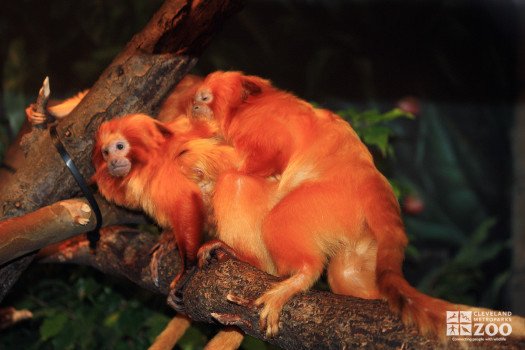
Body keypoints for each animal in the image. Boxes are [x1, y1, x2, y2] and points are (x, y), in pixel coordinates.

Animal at [186, 69, 524, 340]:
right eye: (196, 99)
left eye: (205, 97)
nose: (194, 106)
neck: (248, 107)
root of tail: (371, 182)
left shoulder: (260, 125)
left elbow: (264, 161)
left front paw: (203, 174)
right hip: (358, 233)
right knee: (344, 274)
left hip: (326, 201)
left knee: (261, 202)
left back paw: (268, 266)